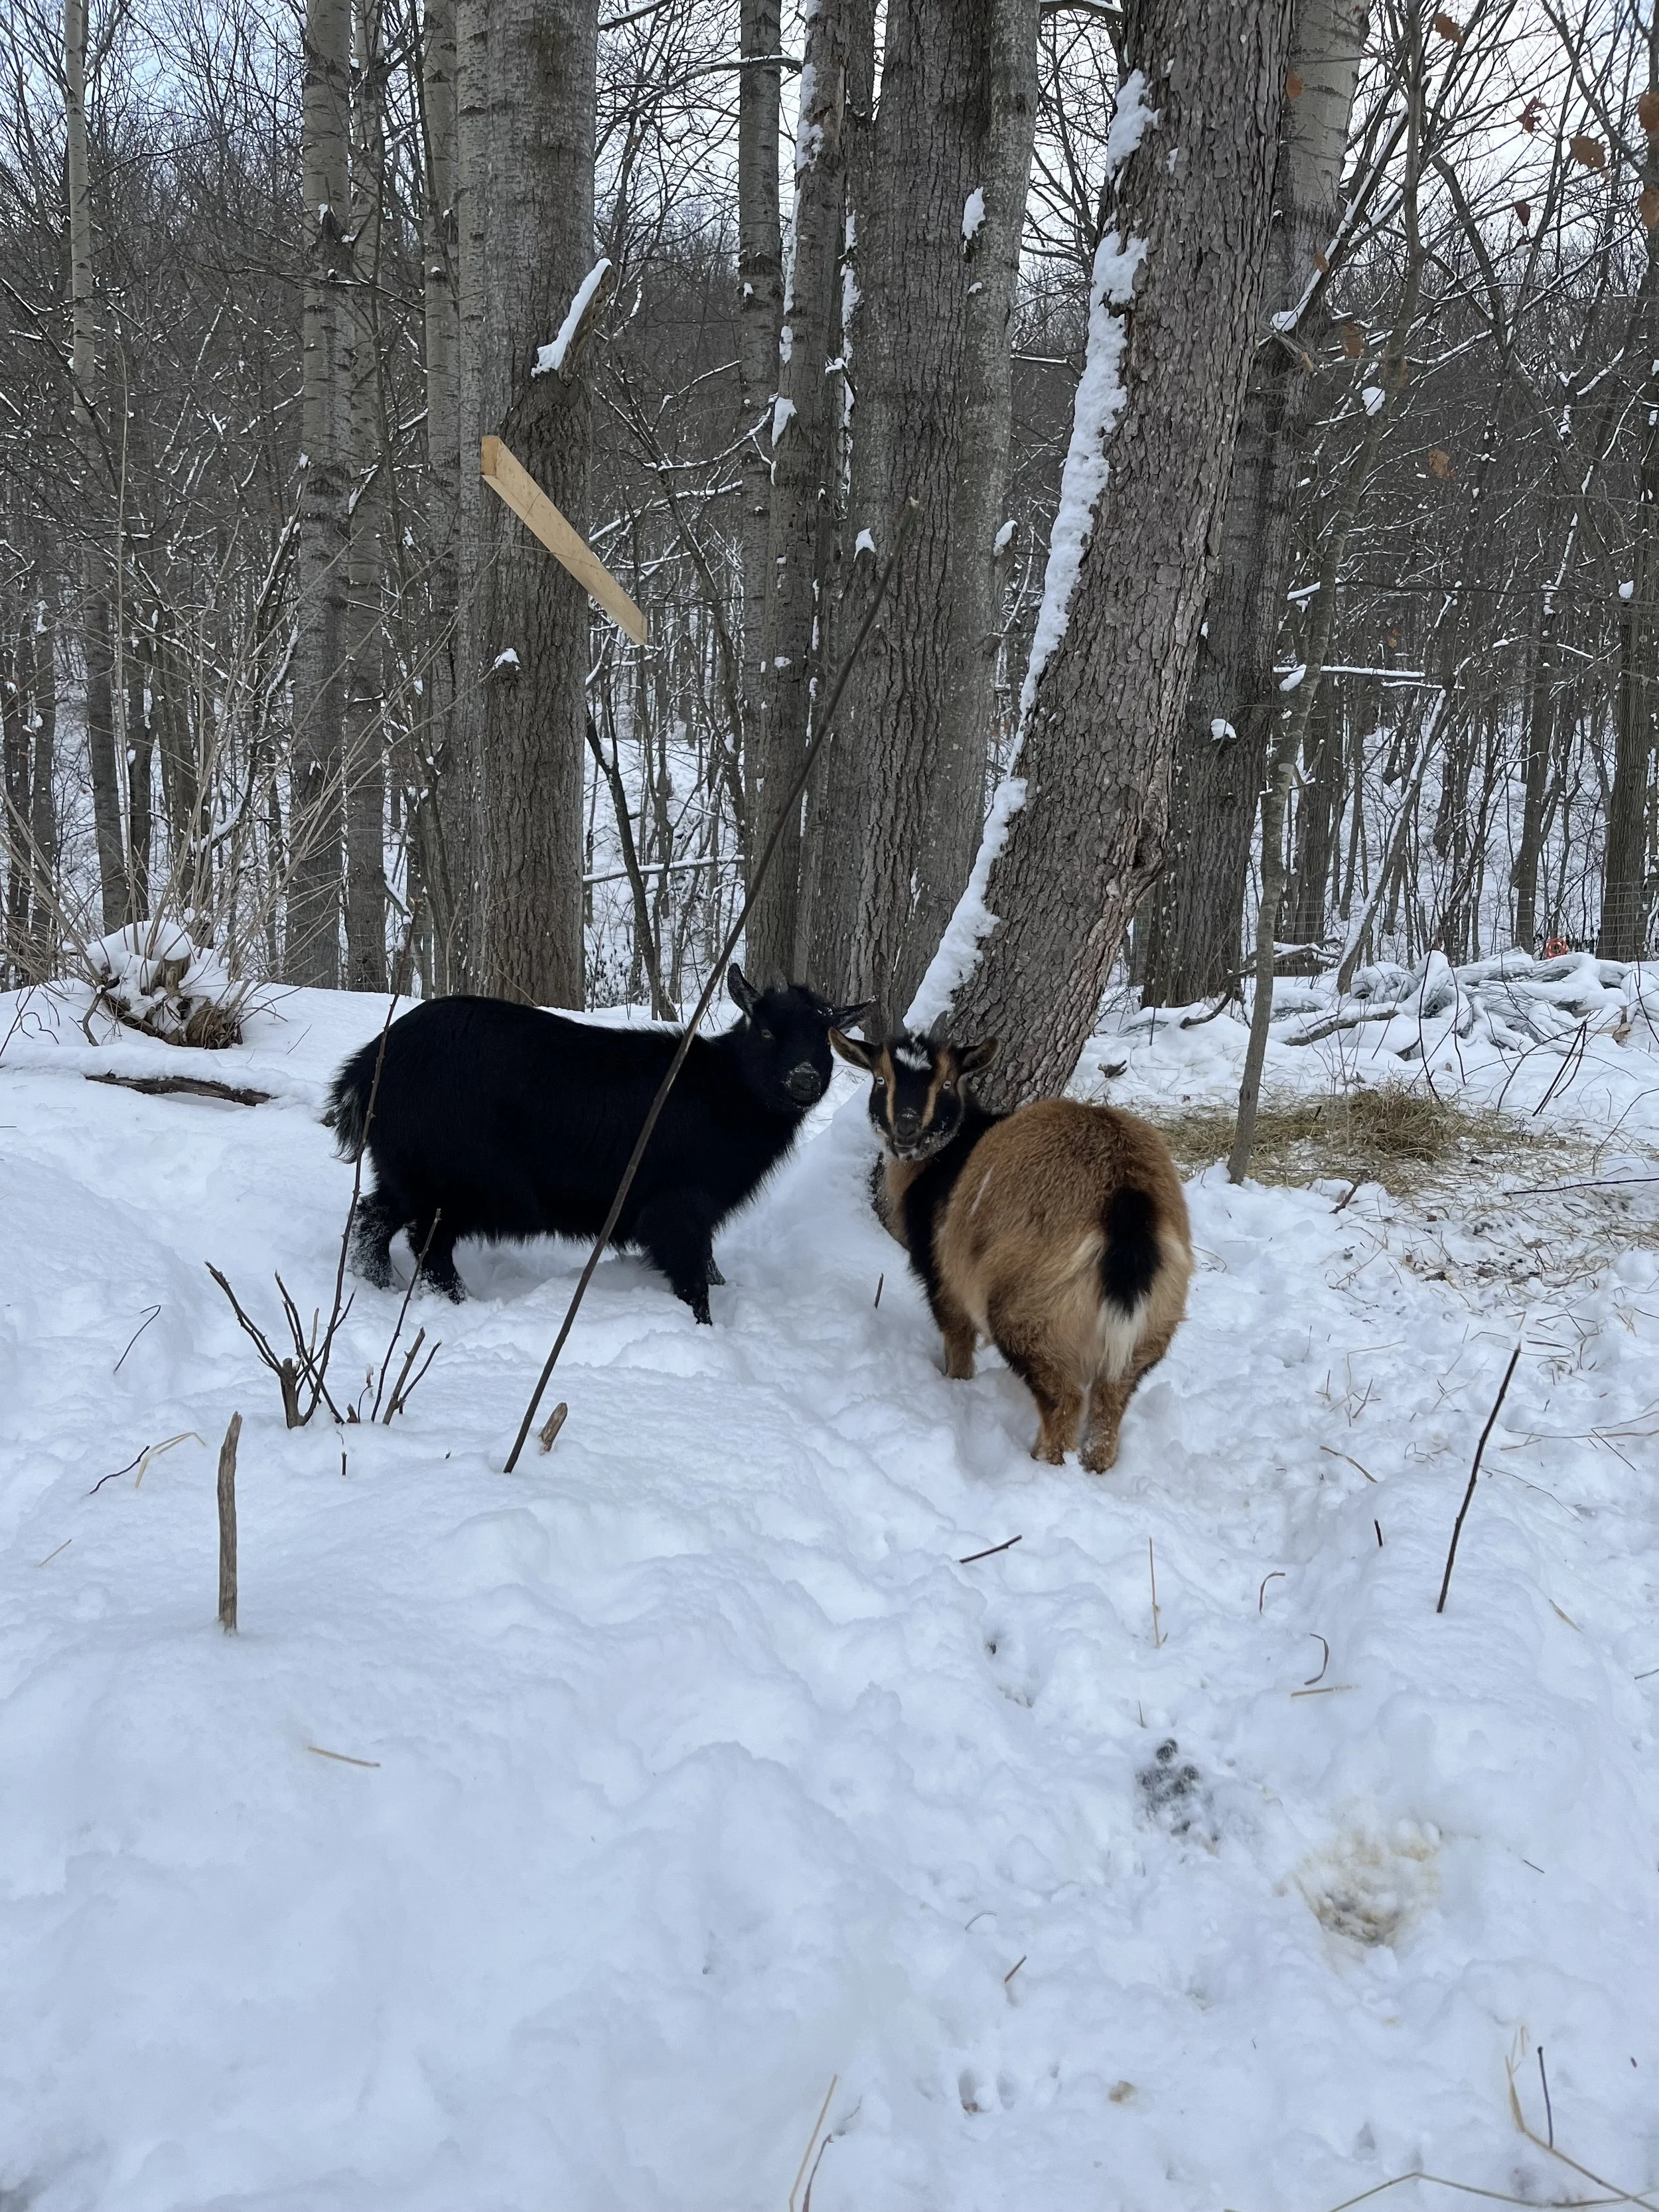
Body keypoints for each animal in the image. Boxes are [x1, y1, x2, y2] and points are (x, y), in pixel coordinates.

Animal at [327, 966, 870, 1318]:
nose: (804, 1079)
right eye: (765, 1031)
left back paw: (375, 1284)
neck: (725, 1091)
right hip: (450, 1182)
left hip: (405, 1171)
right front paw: (704, 1328)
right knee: (429, 1246)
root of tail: (366, 1068)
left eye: (825, 1037)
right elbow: (692, 1278)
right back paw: (458, 1306)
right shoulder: (676, 1207)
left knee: (373, 1219)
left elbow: (708, 1266)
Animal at [832, 1027, 1192, 1471]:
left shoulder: (944, 1277)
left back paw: (1042, 1461)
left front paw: (956, 1383)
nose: (907, 1131)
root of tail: (1127, 1200)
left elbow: (957, 1341)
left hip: (1029, 1310)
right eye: (880, 1079)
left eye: (947, 1083)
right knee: (1111, 1401)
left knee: (1064, 1400)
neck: (944, 1160)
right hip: (1152, 1325)